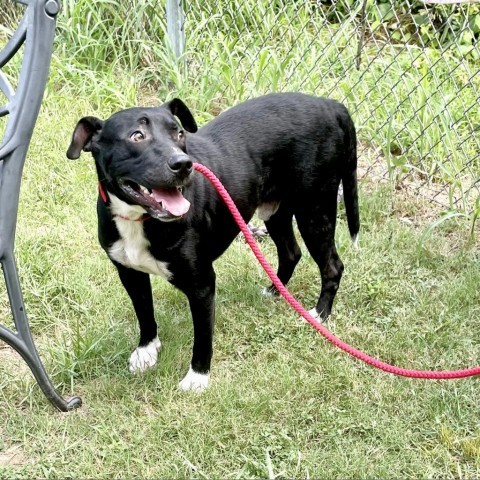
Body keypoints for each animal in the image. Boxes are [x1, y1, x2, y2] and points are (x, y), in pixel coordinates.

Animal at [68, 93, 360, 390]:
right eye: (137, 136)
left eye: (179, 133)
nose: (183, 164)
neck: (139, 219)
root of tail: (331, 104)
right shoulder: (129, 272)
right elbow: (145, 314)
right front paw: (146, 350)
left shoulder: (202, 285)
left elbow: (203, 337)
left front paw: (197, 377)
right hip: (275, 211)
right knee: (291, 252)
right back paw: (274, 291)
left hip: (314, 209)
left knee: (332, 266)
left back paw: (319, 314)